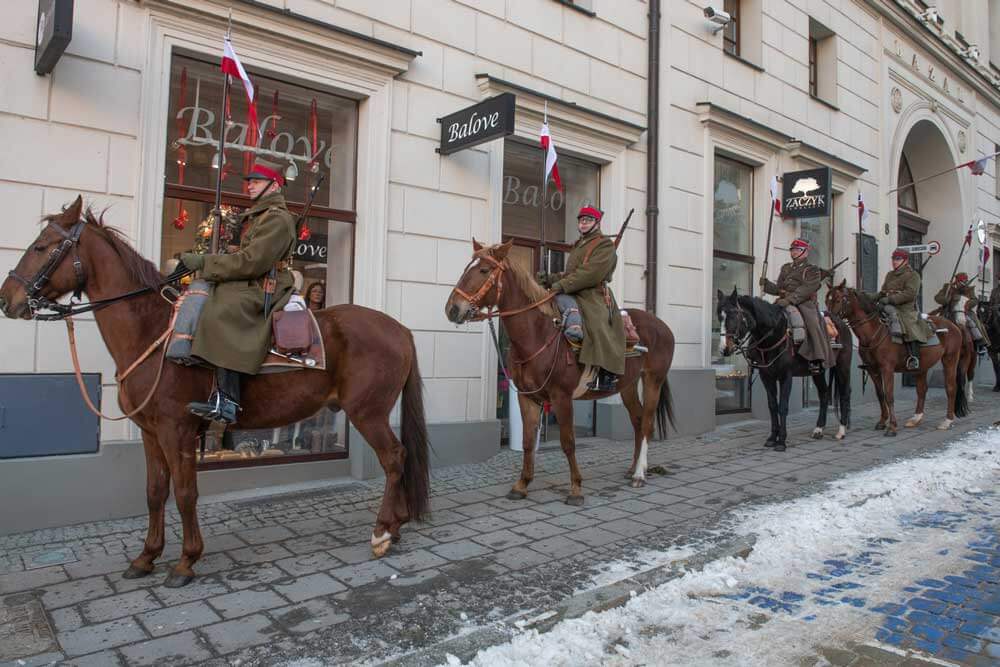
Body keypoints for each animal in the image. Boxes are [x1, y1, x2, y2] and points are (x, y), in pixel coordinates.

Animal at [0, 196, 430, 588]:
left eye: (41, 247)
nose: (7, 299)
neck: (151, 331)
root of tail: (399, 328)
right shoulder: (150, 431)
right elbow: (154, 491)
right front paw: (146, 556)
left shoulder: (176, 430)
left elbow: (185, 492)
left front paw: (185, 561)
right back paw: (397, 525)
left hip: (368, 413)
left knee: (394, 458)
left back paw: (382, 531)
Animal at [444, 237, 672, 504]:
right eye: (467, 267)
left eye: (484, 270)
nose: (452, 309)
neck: (538, 334)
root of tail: (661, 325)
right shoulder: (528, 397)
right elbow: (528, 441)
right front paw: (522, 485)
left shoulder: (562, 397)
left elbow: (568, 442)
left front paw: (576, 488)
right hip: (627, 385)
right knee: (637, 421)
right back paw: (632, 468)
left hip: (653, 380)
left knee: (646, 423)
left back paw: (639, 474)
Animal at [720, 288, 852, 452]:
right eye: (719, 316)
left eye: (734, 315)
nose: (724, 349)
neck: (775, 334)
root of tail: (842, 323)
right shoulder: (766, 376)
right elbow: (772, 406)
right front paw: (772, 438)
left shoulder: (786, 376)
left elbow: (783, 407)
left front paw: (781, 441)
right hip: (818, 371)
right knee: (824, 393)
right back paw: (819, 429)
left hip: (842, 366)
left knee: (845, 394)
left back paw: (841, 430)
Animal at [824, 280, 964, 434]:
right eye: (826, 300)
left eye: (838, 299)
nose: (829, 320)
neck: (874, 332)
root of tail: (953, 326)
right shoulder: (873, 370)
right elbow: (880, 394)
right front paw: (882, 422)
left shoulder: (887, 369)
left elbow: (889, 396)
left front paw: (892, 426)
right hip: (922, 367)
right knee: (922, 390)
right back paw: (915, 419)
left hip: (950, 360)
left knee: (950, 388)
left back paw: (947, 421)